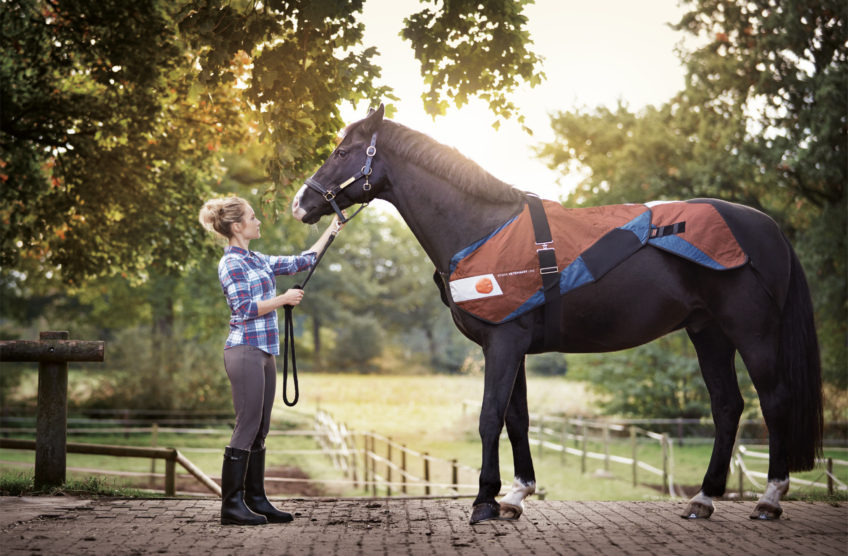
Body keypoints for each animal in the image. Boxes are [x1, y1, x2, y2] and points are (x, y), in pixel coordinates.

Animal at [292, 105, 820, 524]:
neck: (482, 229)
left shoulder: (504, 344)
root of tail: (766, 227)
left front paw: (483, 503)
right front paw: (515, 496)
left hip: (751, 330)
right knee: (727, 405)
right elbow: (517, 418)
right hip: (708, 332)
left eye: (343, 151)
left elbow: (489, 417)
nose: (301, 203)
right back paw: (704, 499)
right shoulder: (512, 345)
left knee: (773, 401)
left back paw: (769, 500)